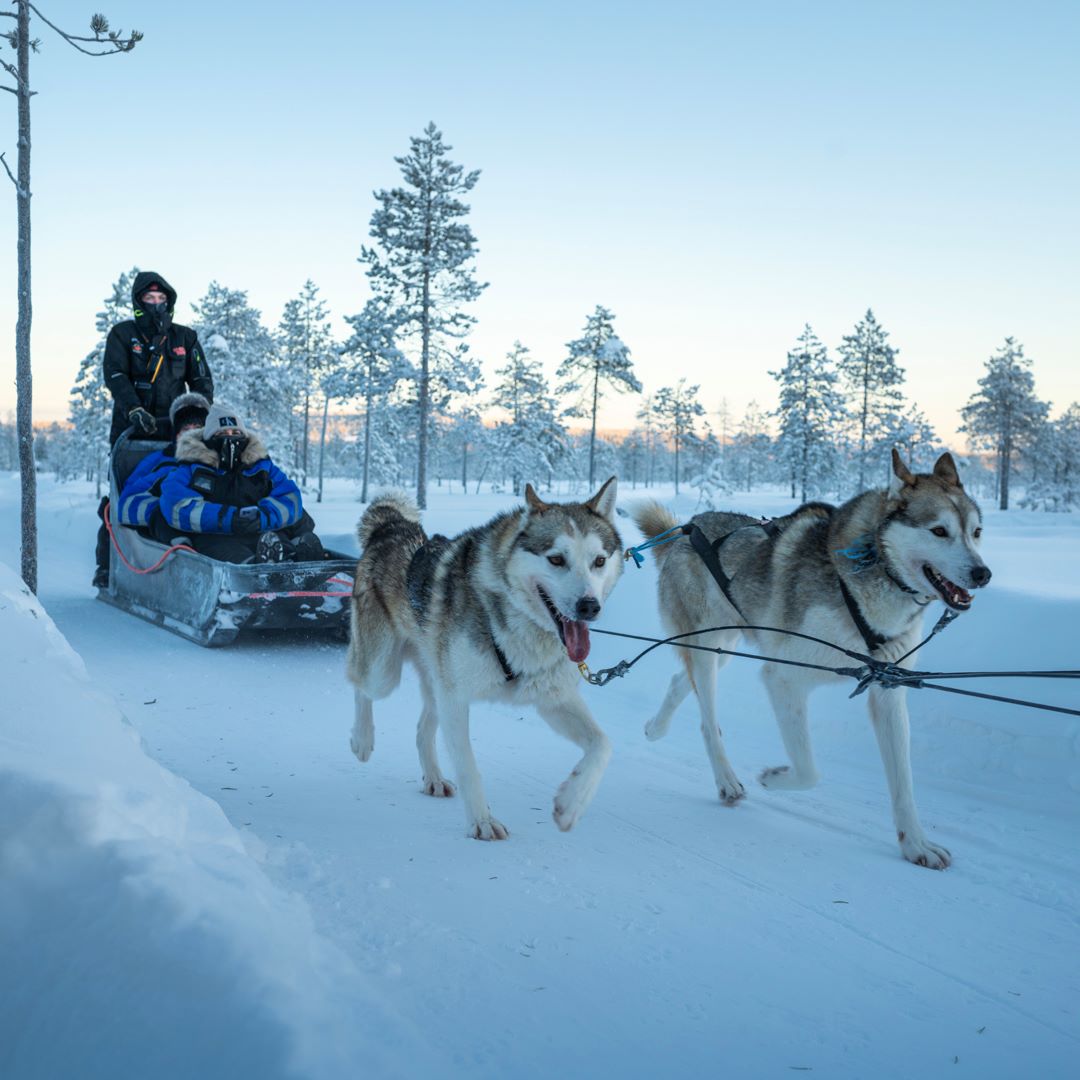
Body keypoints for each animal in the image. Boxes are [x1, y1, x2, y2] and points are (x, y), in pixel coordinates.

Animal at [341, 481, 622, 842]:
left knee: (421, 730)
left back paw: (433, 777)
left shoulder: (552, 699)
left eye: (599, 561)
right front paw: (482, 821)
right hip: (384, 672)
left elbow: (602, 745)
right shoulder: (456, 700)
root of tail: (392, 528)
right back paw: (362, 738)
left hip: (435, 680)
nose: (589, 606)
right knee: (359, 684)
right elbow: (469, 767)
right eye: (556, 559)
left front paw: (571, 803)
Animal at [630, 449, 993, 868]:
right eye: (939, 531)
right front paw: (772, 777)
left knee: (680, 681)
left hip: (720, 646)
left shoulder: (887, 689)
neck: (869, 569)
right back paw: (725, 780)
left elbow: (903, 783)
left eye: (976, 532)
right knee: (707, 720)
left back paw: (655, 728)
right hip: (710, 650)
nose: (982, 573)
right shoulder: (784, 678)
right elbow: (809, 771)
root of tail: (687, 529)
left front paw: (915, 844)